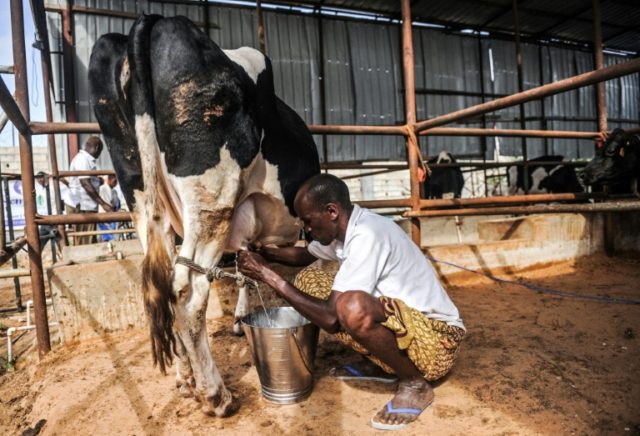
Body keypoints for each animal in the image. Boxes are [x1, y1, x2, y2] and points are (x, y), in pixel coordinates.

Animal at [89, 15, 318, 418]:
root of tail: (155, 21)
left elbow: (246, 270)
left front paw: (241, 321)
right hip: (212, 198)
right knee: (190, 291)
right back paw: (215, 395)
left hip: (142, 197)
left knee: (164, 285)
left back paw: (185, 379)